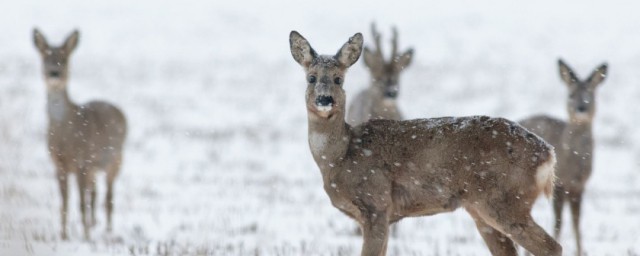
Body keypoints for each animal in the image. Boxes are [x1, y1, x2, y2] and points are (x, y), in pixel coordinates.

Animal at [32, 28, 127, 240]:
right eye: (45, 58)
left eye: (64, 59)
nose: (54, 73)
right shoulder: (59, 164)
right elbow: (65, 202)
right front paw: (63, 235)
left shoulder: (82, 161)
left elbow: (81, 203)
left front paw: (85, 236)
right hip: (95, 168)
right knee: (95, 194)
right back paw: (94, 224)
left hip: (115, 160)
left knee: (108, 197)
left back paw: (107, 231)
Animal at [290, 31, 560, 256]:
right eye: (311, 78)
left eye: (339, 79)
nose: (325, 99)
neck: (341, 157)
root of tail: (548, 153)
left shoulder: (377, 205)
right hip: (481, 210)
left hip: (505, 200)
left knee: (551, 247)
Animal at [520, 58, 604, 256]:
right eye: (571, 94)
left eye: (591, 95)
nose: (581, 108)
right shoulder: (559, 185)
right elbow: (559, 223)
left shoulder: (579, 186)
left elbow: (576, 223)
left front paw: (581, 252)